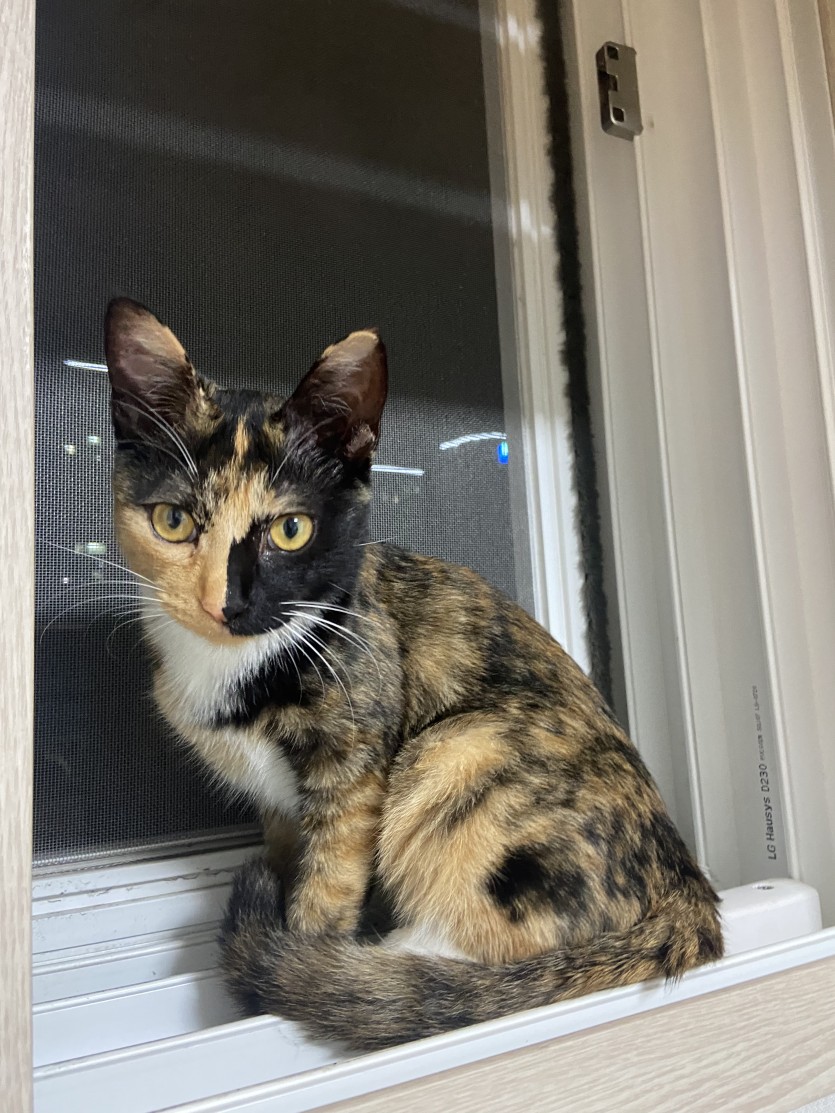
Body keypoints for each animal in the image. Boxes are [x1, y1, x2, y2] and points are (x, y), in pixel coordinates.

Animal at [105, 297, 723, 1053]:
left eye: (290, 530)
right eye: (173, 520)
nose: (229, 603)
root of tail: (686, 884)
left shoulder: (355, 772)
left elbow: (326, 888)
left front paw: (298, 960)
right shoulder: (280, 807)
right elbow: (288, 853)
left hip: (460, 749)